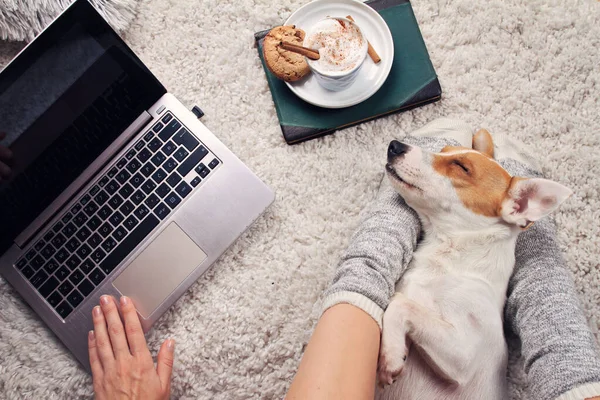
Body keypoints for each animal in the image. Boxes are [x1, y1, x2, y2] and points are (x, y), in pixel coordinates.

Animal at [378, 130, 568, 398]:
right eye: (444, 150)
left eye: (461, 167)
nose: (395, 145)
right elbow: (398, 301)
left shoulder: (463, 356)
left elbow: (400, 304)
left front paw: (391, 356)